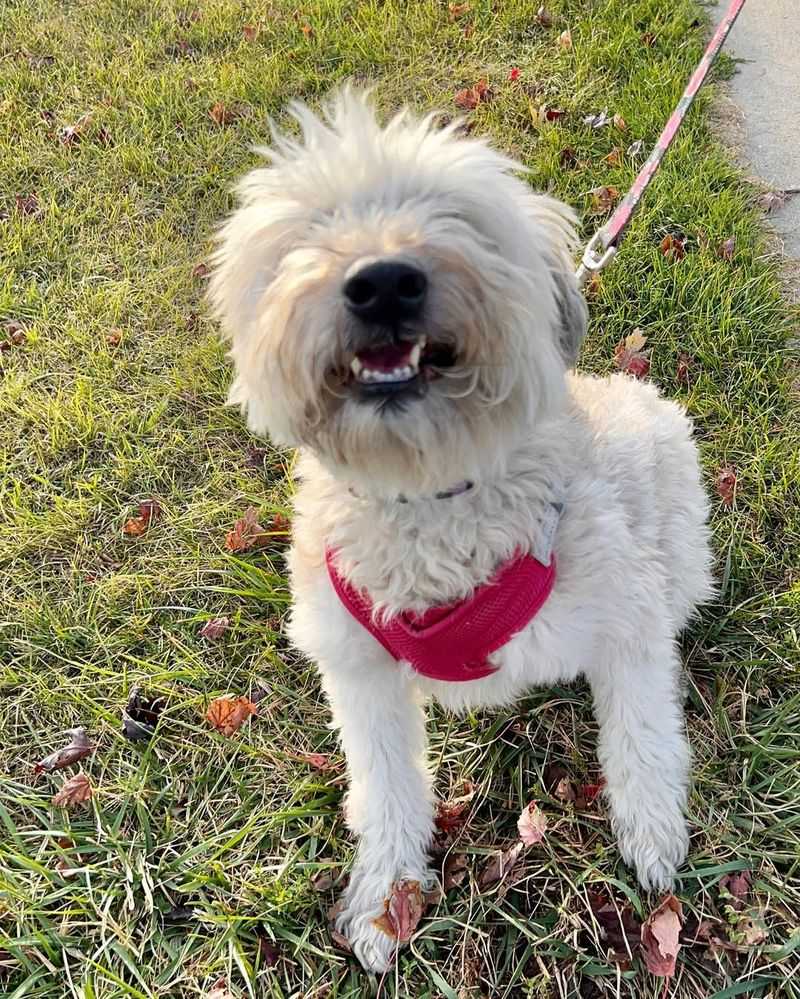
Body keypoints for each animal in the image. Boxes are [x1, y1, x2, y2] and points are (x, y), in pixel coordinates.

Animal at [209, 90, 716, 972]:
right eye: (316, 225)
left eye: (455, 215)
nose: (381, 283)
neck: (429, 496)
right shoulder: (358, 669)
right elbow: (385, 785)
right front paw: (386, 897)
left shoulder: (629, 624)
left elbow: (645, 736)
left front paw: (653, 835)